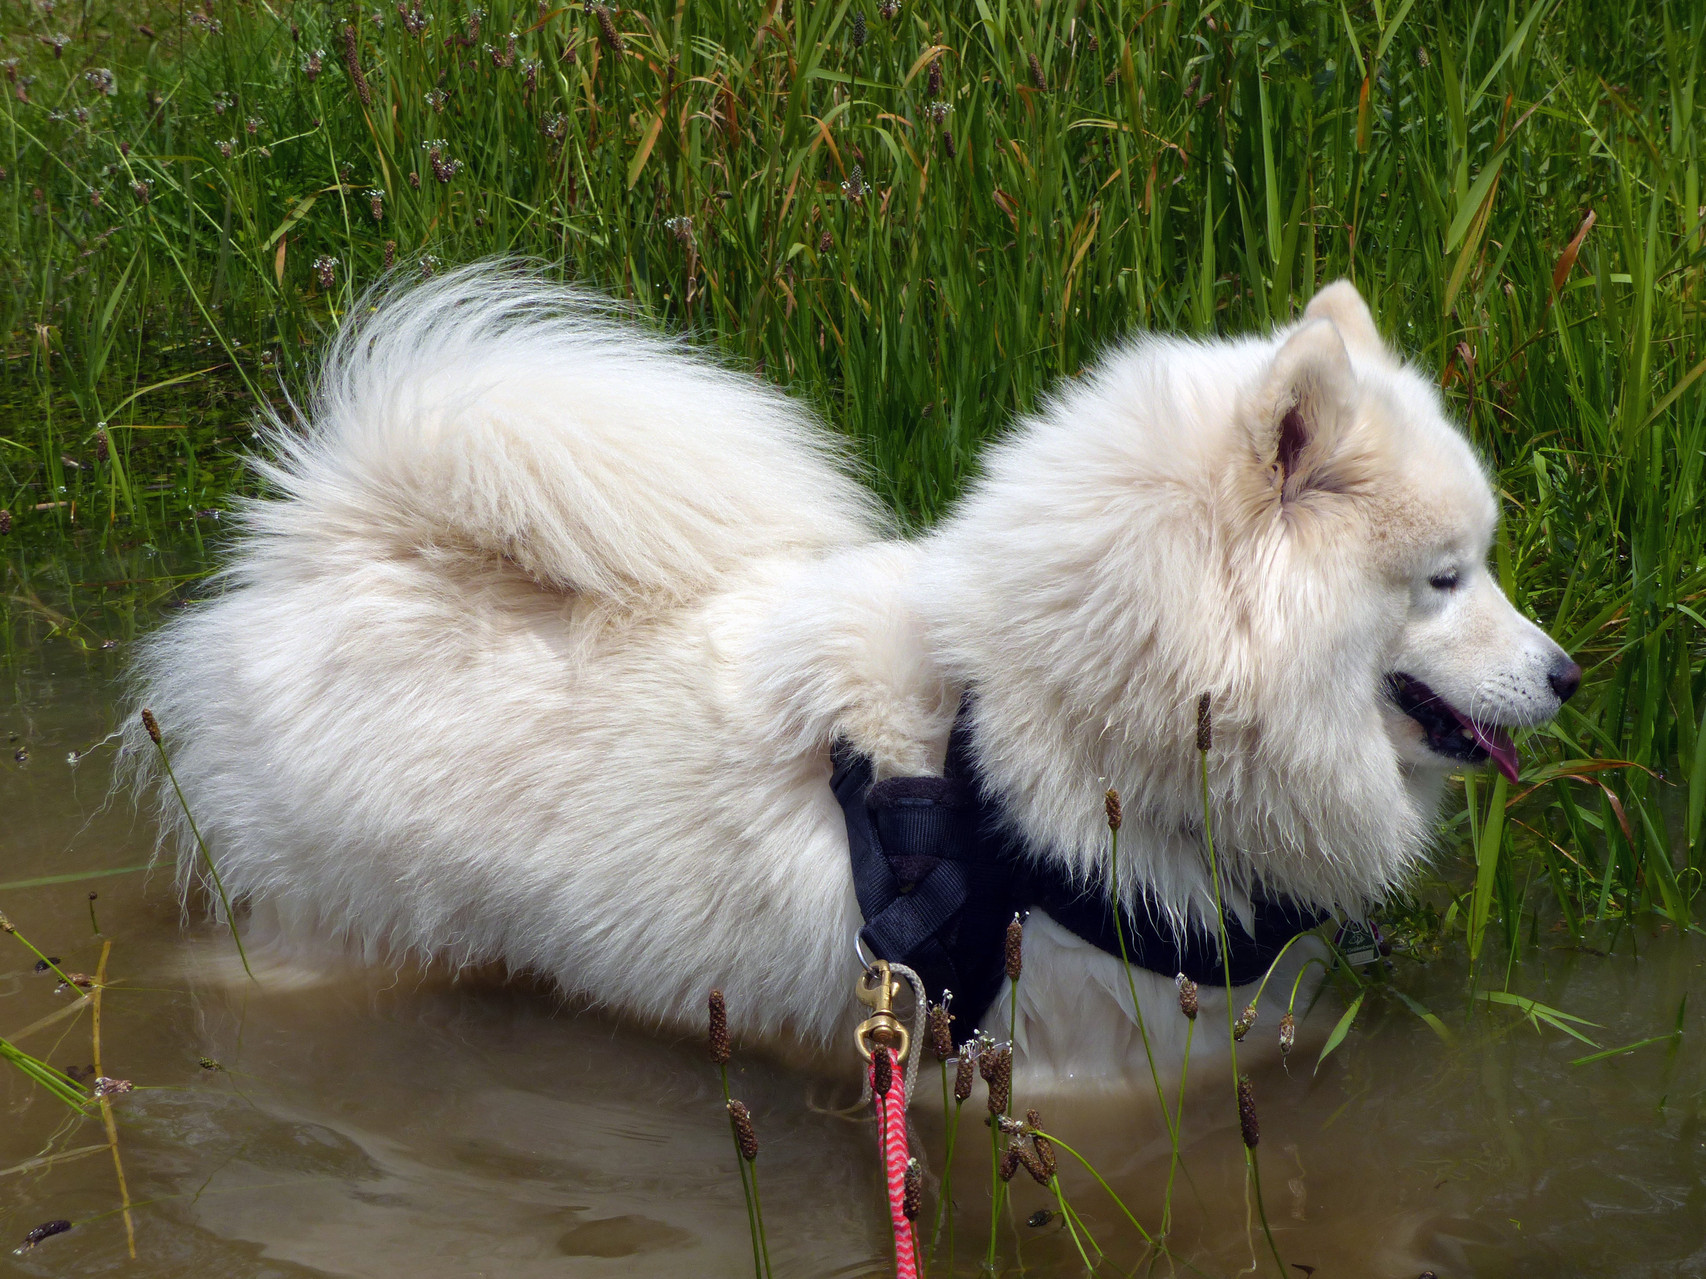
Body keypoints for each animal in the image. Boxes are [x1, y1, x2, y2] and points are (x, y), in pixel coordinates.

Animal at [126, 271, 1576, 1091]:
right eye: (1444, 579)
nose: (1565, 674)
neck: (1021, 734)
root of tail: (328, 542)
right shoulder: (1052, 1071)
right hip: (338, 929)